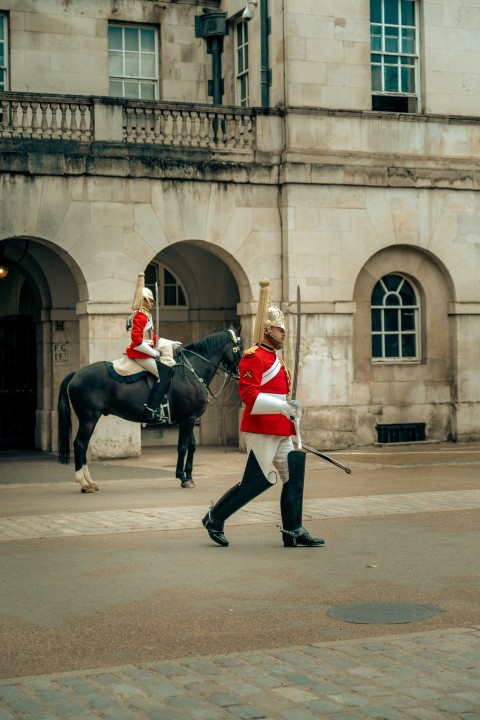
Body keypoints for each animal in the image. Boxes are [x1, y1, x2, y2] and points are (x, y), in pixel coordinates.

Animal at [57, 330, 242, 492]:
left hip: (89, 420)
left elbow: (192, 446)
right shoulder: (188, 419)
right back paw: (84, 483)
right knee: (80, 444)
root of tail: (77, 373)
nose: (240, 374)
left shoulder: (187, 419)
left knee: (83, 446)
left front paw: (189, 476)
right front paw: (183, 477)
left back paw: (89, 482)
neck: (192, 373)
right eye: (238, 349)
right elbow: (183, 447)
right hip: (88, 419)